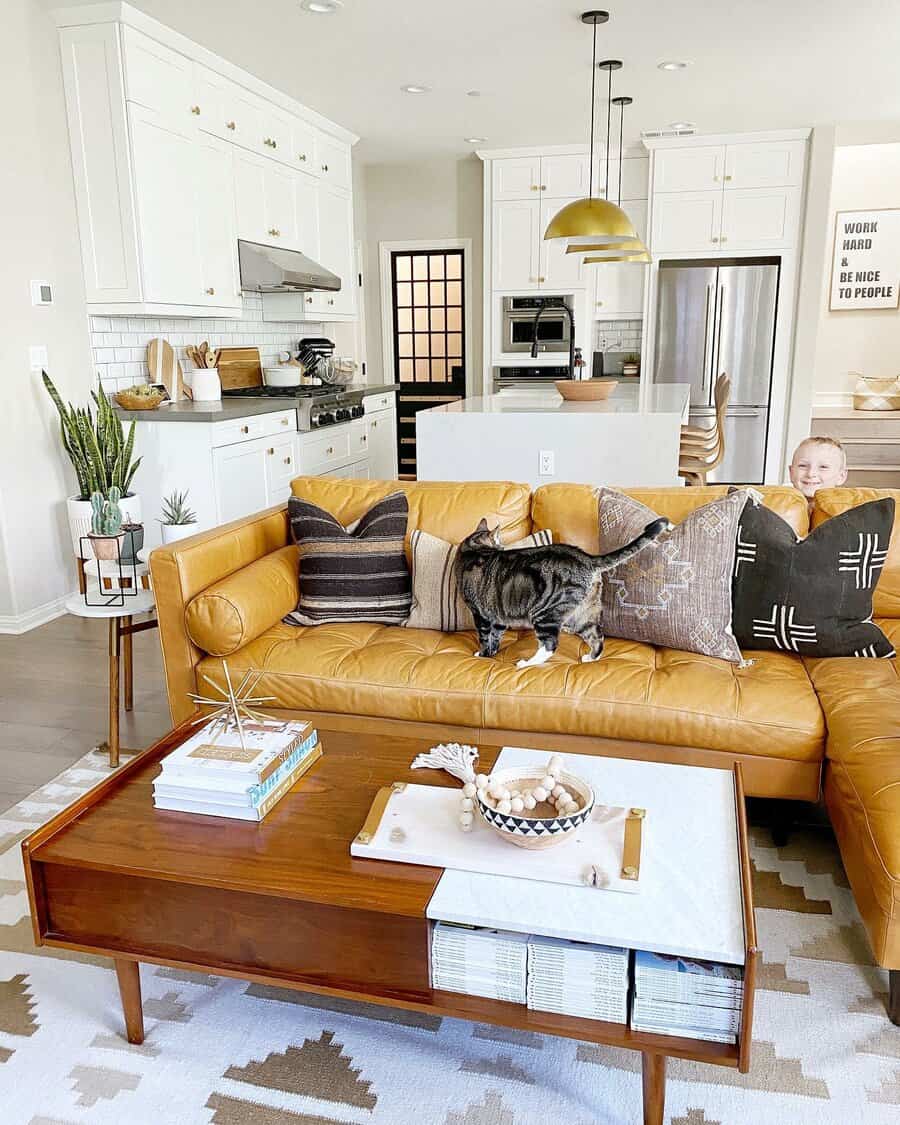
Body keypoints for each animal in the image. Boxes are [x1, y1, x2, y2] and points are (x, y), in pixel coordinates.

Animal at [456, 517, 666, 666]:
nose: (502, 547)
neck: (472, 551)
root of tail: (587, 558)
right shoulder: (498, 615)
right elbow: (496, 636)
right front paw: (492, 653)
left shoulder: (480, 613)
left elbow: (485, 637)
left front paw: (483, 655)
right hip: (583, 614)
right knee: (597, 637)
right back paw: (591, 658)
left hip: (545, 612)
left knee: (550, 645)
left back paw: (526, 663)